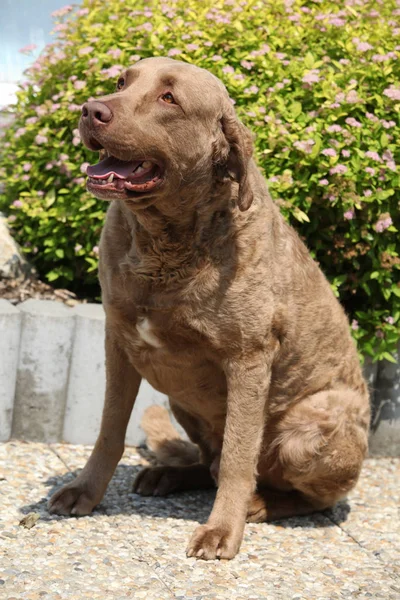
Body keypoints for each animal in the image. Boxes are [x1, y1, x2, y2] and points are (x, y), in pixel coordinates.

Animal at [48, 56, 370, 556]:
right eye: (121, 81)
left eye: (169, 98)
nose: (90, 109)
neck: (163, 241)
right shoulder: (118, 337)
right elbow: (109, 430)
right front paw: (85, 492)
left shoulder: (249, 358)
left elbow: (240, 454)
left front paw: (222, 530)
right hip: (180, 399)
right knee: (211, 462)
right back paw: (170, 474)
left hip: (313, 424)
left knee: (305, 495)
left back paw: (259, 504)